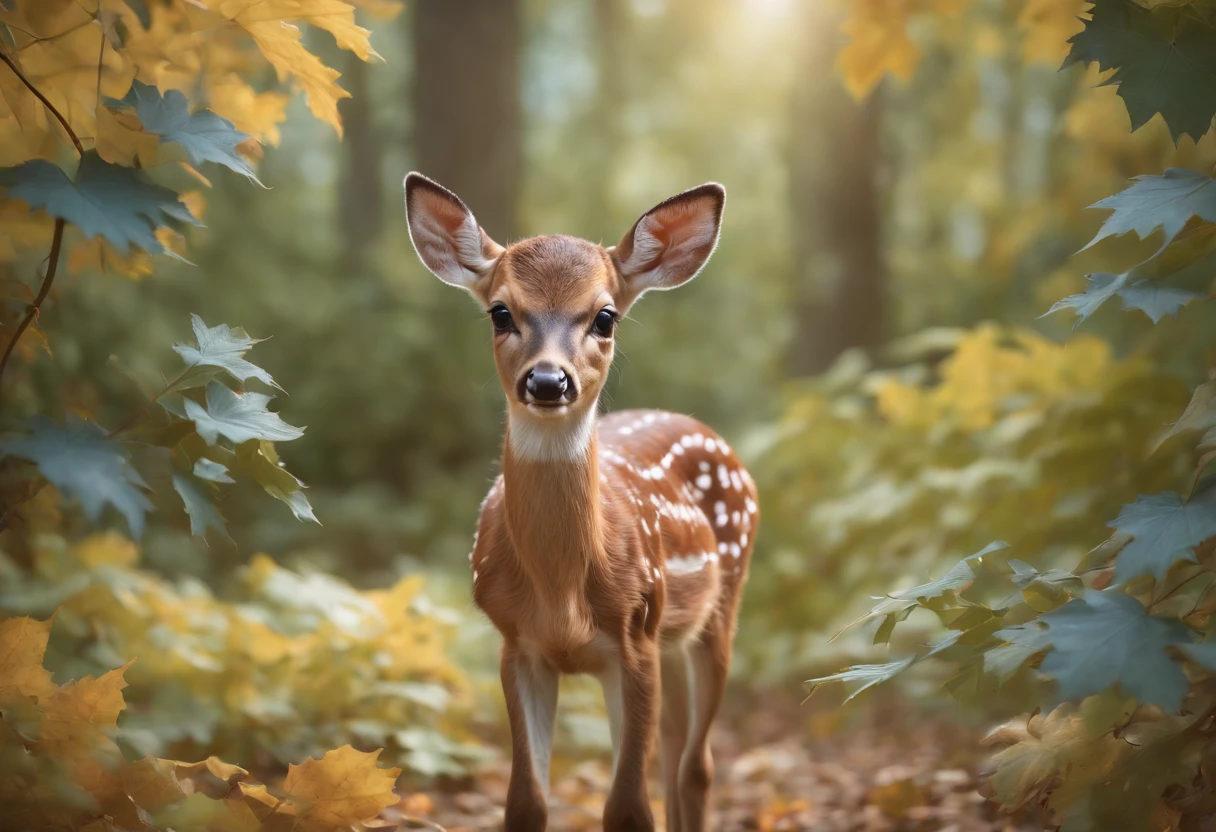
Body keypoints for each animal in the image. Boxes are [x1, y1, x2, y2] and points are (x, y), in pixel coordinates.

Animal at [403, 173, 753, 832]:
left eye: (605, 317)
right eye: (501, 311)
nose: (547, 380)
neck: (563, 595)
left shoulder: (634, 634)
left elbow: (627, 808)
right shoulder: (517, 644)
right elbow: (526, 802)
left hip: (719, 608)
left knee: (695, 765)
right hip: (671, 638)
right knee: (675, 751)